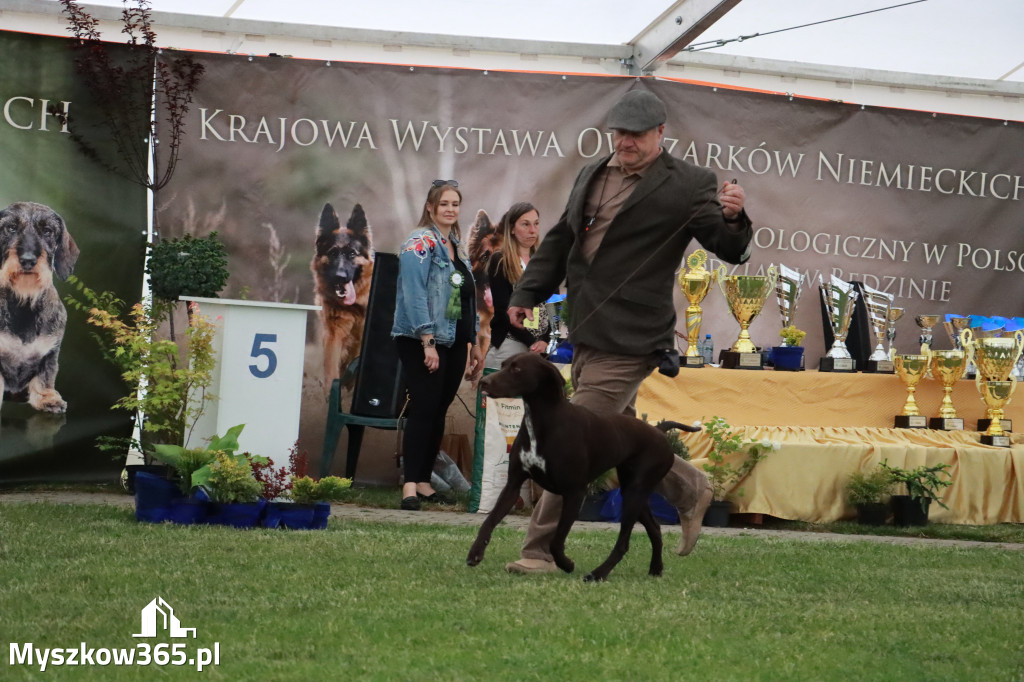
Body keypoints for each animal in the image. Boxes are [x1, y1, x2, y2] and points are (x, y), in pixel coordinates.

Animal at [0, 199, 79, 411]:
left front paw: (47, 398)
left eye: (47, 231)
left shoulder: (50, 353)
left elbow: (45, 377)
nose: (28, 260)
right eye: (11, 228)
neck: (25, 303)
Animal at [468, 350, 700, 577]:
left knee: (624, 543)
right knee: (655, 529)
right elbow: (489, 522)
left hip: (635, 492)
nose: (484, 382)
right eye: (503, 365)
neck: (544, 422)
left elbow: (555, 541)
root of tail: (659, 431)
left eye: (517, 369)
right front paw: (475, 553)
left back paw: (598, 574)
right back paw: (655, 569)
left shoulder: (574, 492)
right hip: (633, 491)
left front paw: (566, 564)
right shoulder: (513, 485)